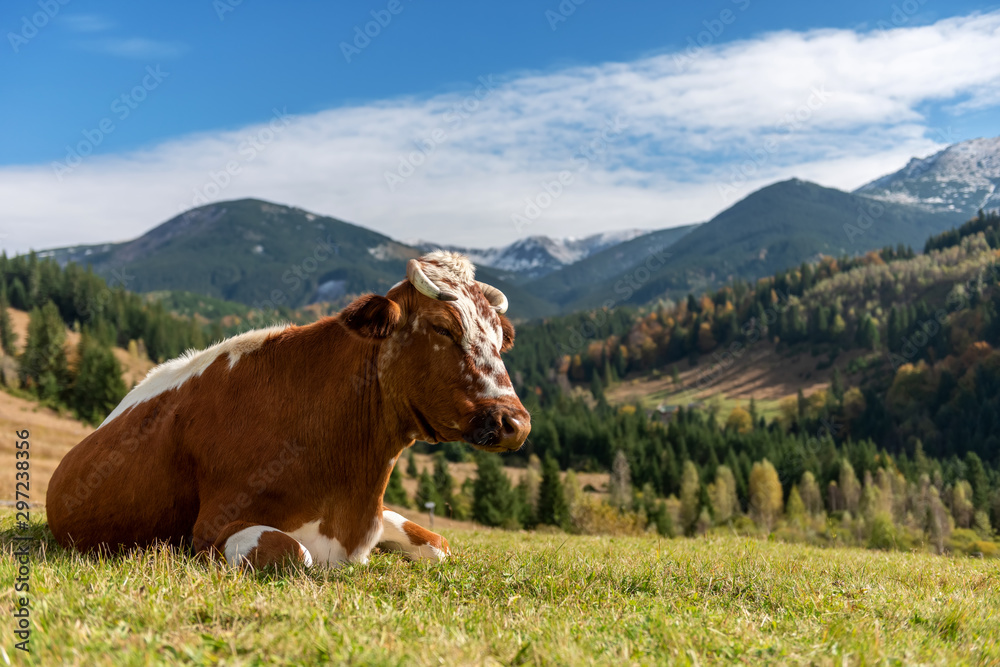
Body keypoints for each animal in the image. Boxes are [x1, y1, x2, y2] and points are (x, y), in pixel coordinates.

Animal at [47, 252, 532, 568]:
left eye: (498, 338)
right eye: (442, 328)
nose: (516, 423)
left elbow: (438, 544)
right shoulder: (210, 529)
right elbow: (295, 554)